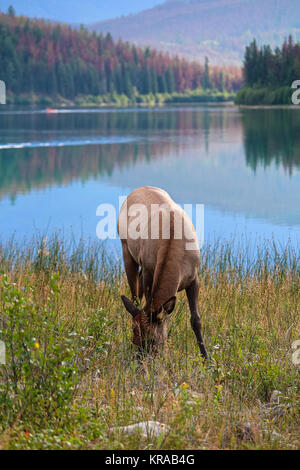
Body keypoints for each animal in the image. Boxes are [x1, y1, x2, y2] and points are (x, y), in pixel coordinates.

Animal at [118, 185, 207, 358]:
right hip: (126, 248)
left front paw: (207, 358)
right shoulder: (149, 271)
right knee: (135, 296)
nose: (141, 361)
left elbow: (196, 320)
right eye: (134, 339)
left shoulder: (194, 278)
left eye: (152, 340)